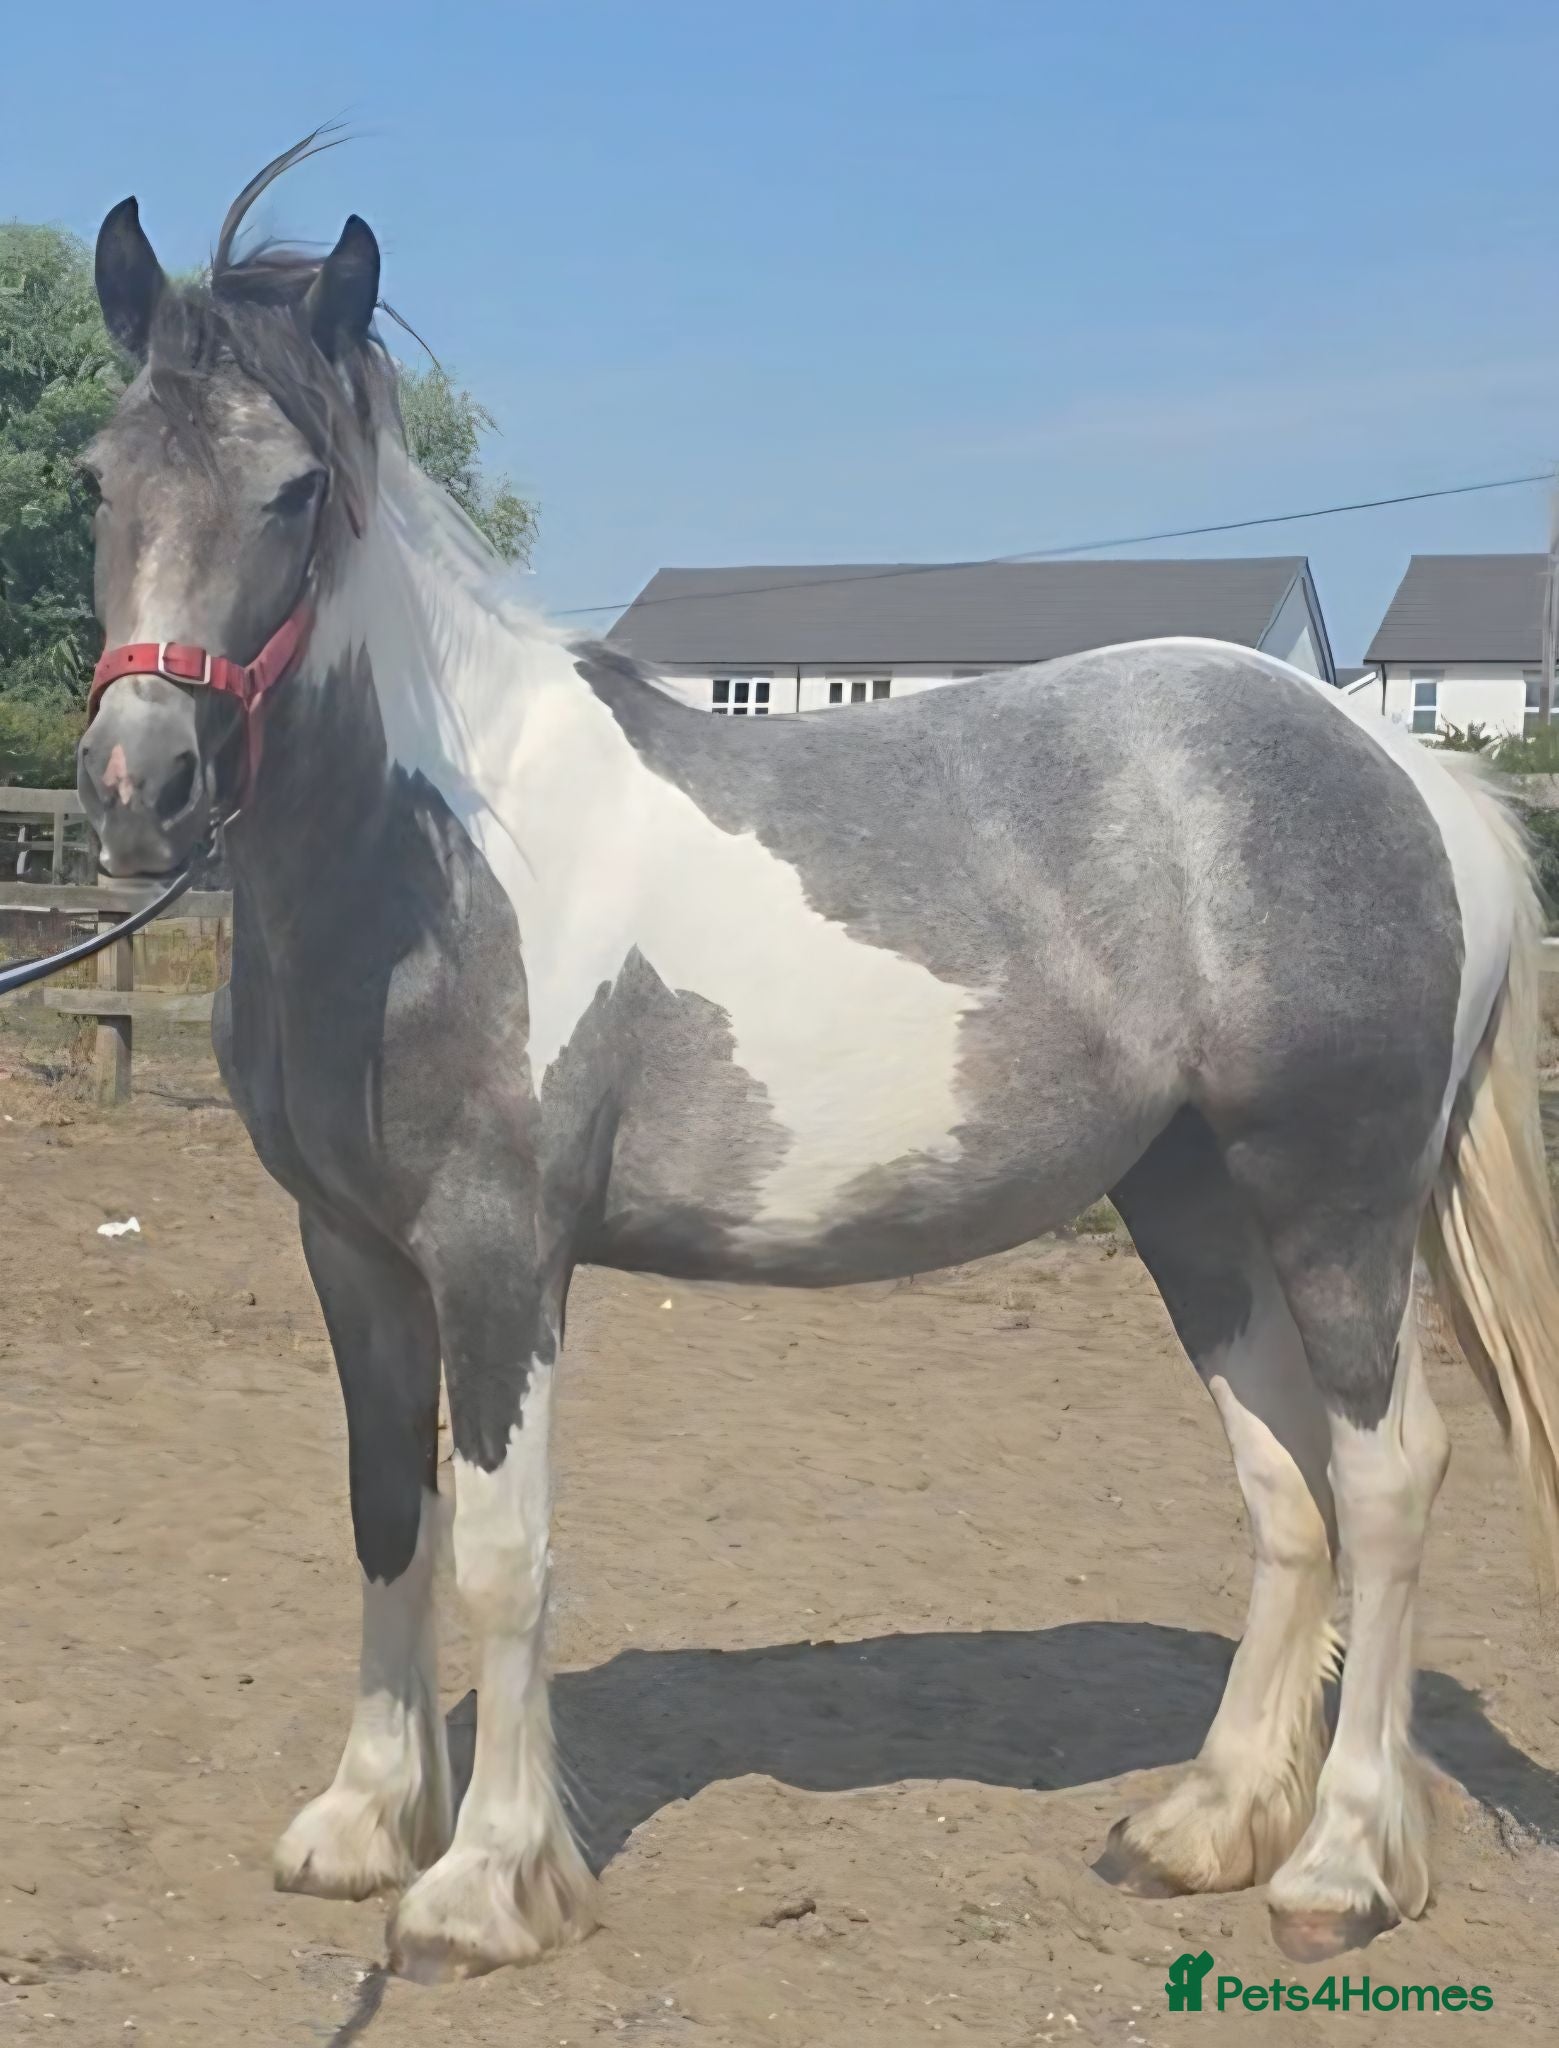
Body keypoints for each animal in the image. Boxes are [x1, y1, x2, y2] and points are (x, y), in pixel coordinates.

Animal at [76, 142, 1559, 1984]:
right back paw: (1200, 1824)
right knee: (1283, 1482)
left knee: (1384, 1475)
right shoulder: (349, 1252)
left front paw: (480, 1882)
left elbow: (500, 1550)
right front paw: (358, 1825)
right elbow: (382, 1515)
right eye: (98, 479)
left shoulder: (501, 1255)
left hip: (1332, 1203)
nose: (139, 784)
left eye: (291, 493)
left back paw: (1339, 1865)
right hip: (1192, 1204)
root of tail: (1402, 768)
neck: (434, 853)